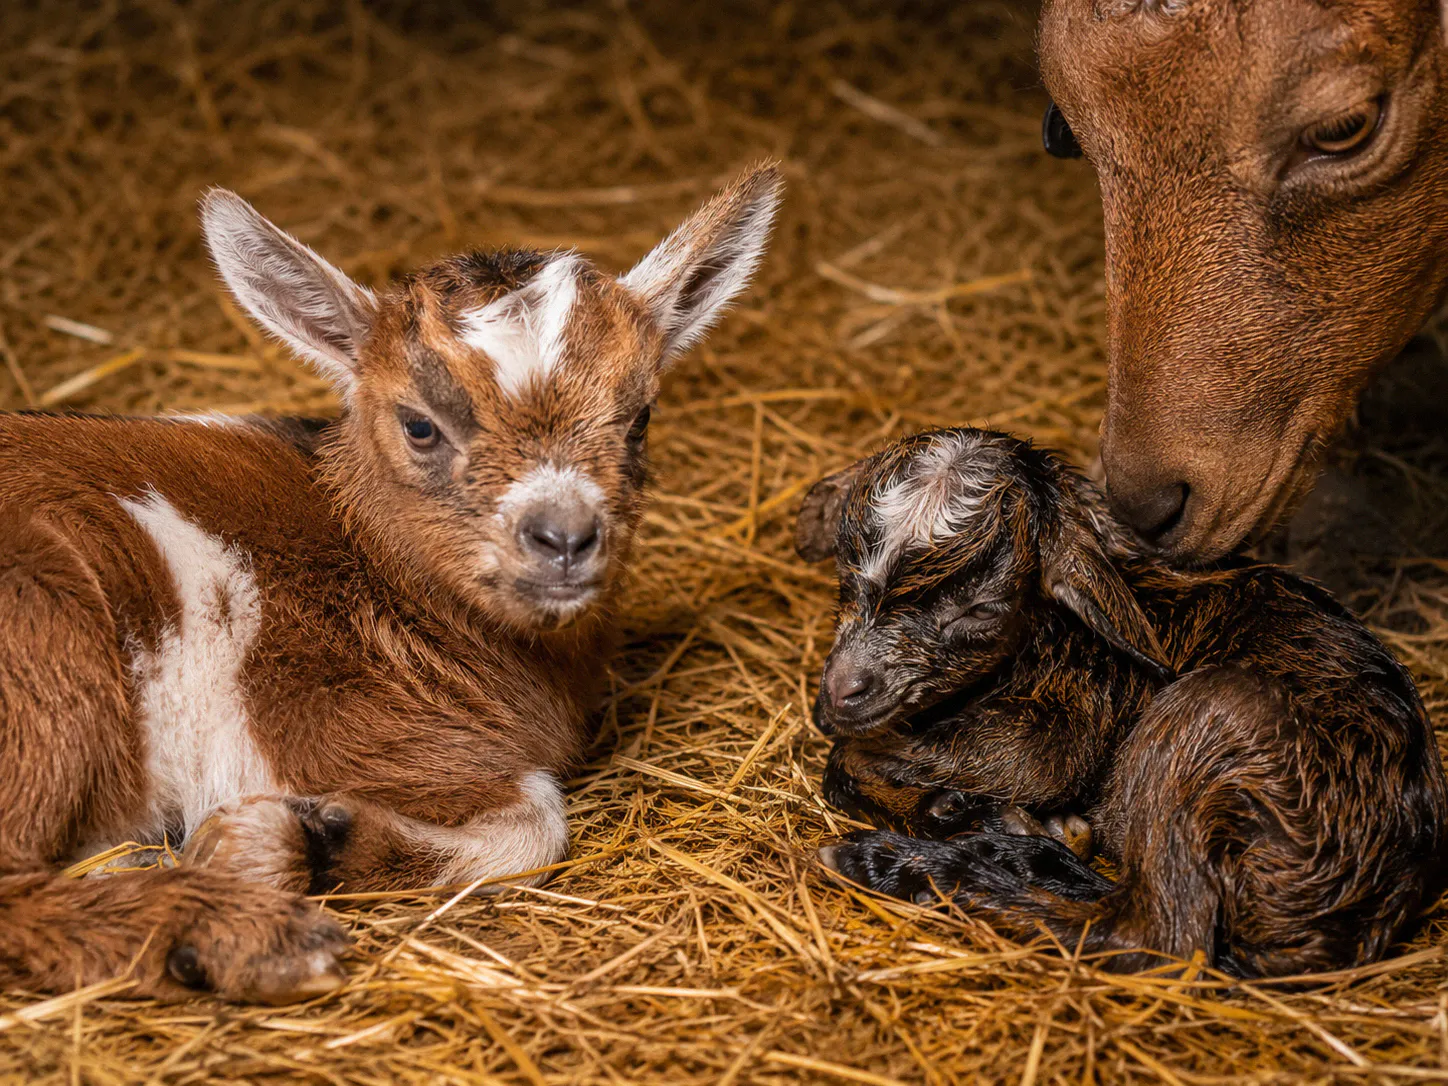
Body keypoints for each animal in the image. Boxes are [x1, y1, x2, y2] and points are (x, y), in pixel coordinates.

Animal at [0, 164, 782, 1003]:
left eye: (638, 419)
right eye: (419, 425)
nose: (565, 537)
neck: (369, 567)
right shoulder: (315, 728)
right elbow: (540, 819)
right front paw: (283, 843)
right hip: (47, 618)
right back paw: (236, 937)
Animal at [796, 428, 1448, 976]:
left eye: (980, 610)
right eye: (846, 577)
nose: (841, 693)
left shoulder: (1061, 726)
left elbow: (849, 759)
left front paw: (949, 809)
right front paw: (955, 808)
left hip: (1212, 713)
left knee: (1157, 936)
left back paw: (902, 865)